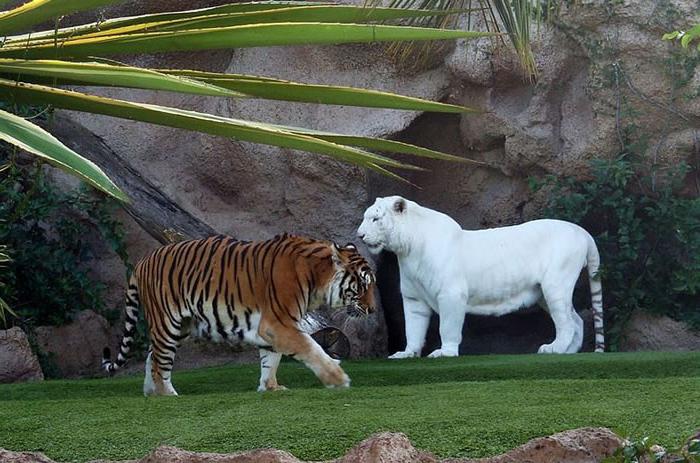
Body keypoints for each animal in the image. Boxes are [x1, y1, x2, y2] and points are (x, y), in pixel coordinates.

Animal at [100, 234, 374, 396]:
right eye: (363, 285)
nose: (372, 309)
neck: (317, 278)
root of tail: (142, 261)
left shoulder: (273, 328)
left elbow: (270, 361)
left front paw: (270, 388)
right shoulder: (279, 324)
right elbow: (311, 348)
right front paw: (338, 379)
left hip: (182, 325)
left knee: (152, 355)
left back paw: (150, 392)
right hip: (168, 323)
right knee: (160, 363)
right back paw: (167, 395)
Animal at [358, 195, 604, 356]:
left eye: (376, 219)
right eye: (365, 217)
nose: (359, 235)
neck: (407, 250)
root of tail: (582, 231)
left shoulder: (451, 294)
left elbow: (447, 326)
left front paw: (444, 353)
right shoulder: (413, 299)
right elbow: (413, 328)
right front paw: (407, 353)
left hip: (555, 284)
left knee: (567, 322)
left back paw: (554, 349)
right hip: (544, 292)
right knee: (576, 320)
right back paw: (570, 351)